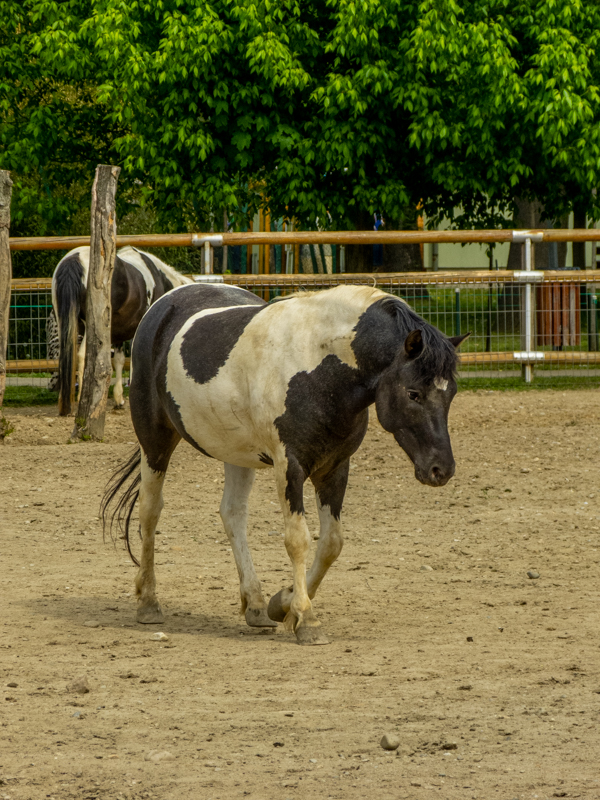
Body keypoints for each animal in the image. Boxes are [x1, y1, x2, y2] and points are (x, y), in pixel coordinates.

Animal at [52, 245, 192, 415]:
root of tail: (75, 259)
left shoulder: (116, 332)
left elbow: (118, 360)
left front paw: (118, 398)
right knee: (82, 355)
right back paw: (80, 400)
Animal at [102, 284, 468, 645]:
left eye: (451, 393)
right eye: (413, 393)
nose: (441, 469)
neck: (319, 367)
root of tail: (164, 304)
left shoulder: (335, 468)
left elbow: (331, 543)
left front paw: (283, 604)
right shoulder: (289, 466)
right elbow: (298, 540)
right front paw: (306, 619)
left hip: (237, 453)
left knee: (232, 514)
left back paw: (255, 605)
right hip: (155, 441)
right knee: (150, 512)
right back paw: (148, 603)